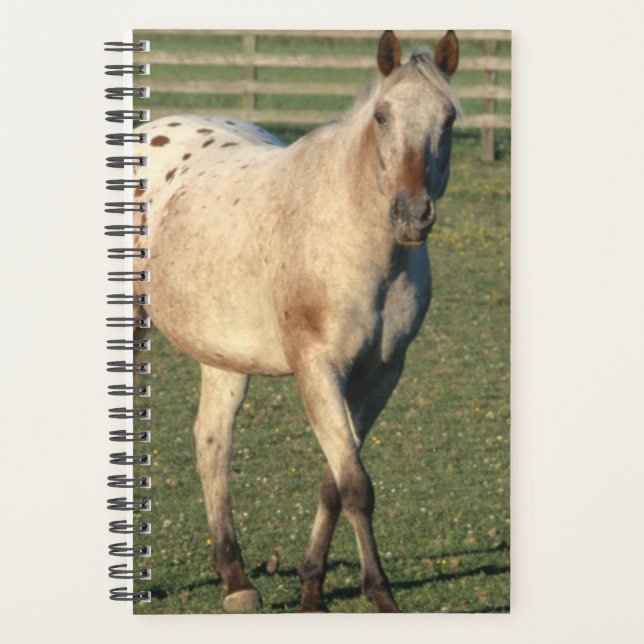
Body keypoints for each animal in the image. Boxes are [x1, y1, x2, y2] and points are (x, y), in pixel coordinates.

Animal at [133, 30, 460, 612]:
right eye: (382, 116)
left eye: (448, 118)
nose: (411, 214)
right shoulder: (318, 369)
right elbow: (355, 486)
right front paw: (380, 594)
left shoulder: (380, 375)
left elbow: (336, 481)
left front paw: (311, 588)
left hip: (224, 356)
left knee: (212, 443)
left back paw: (236, 579)